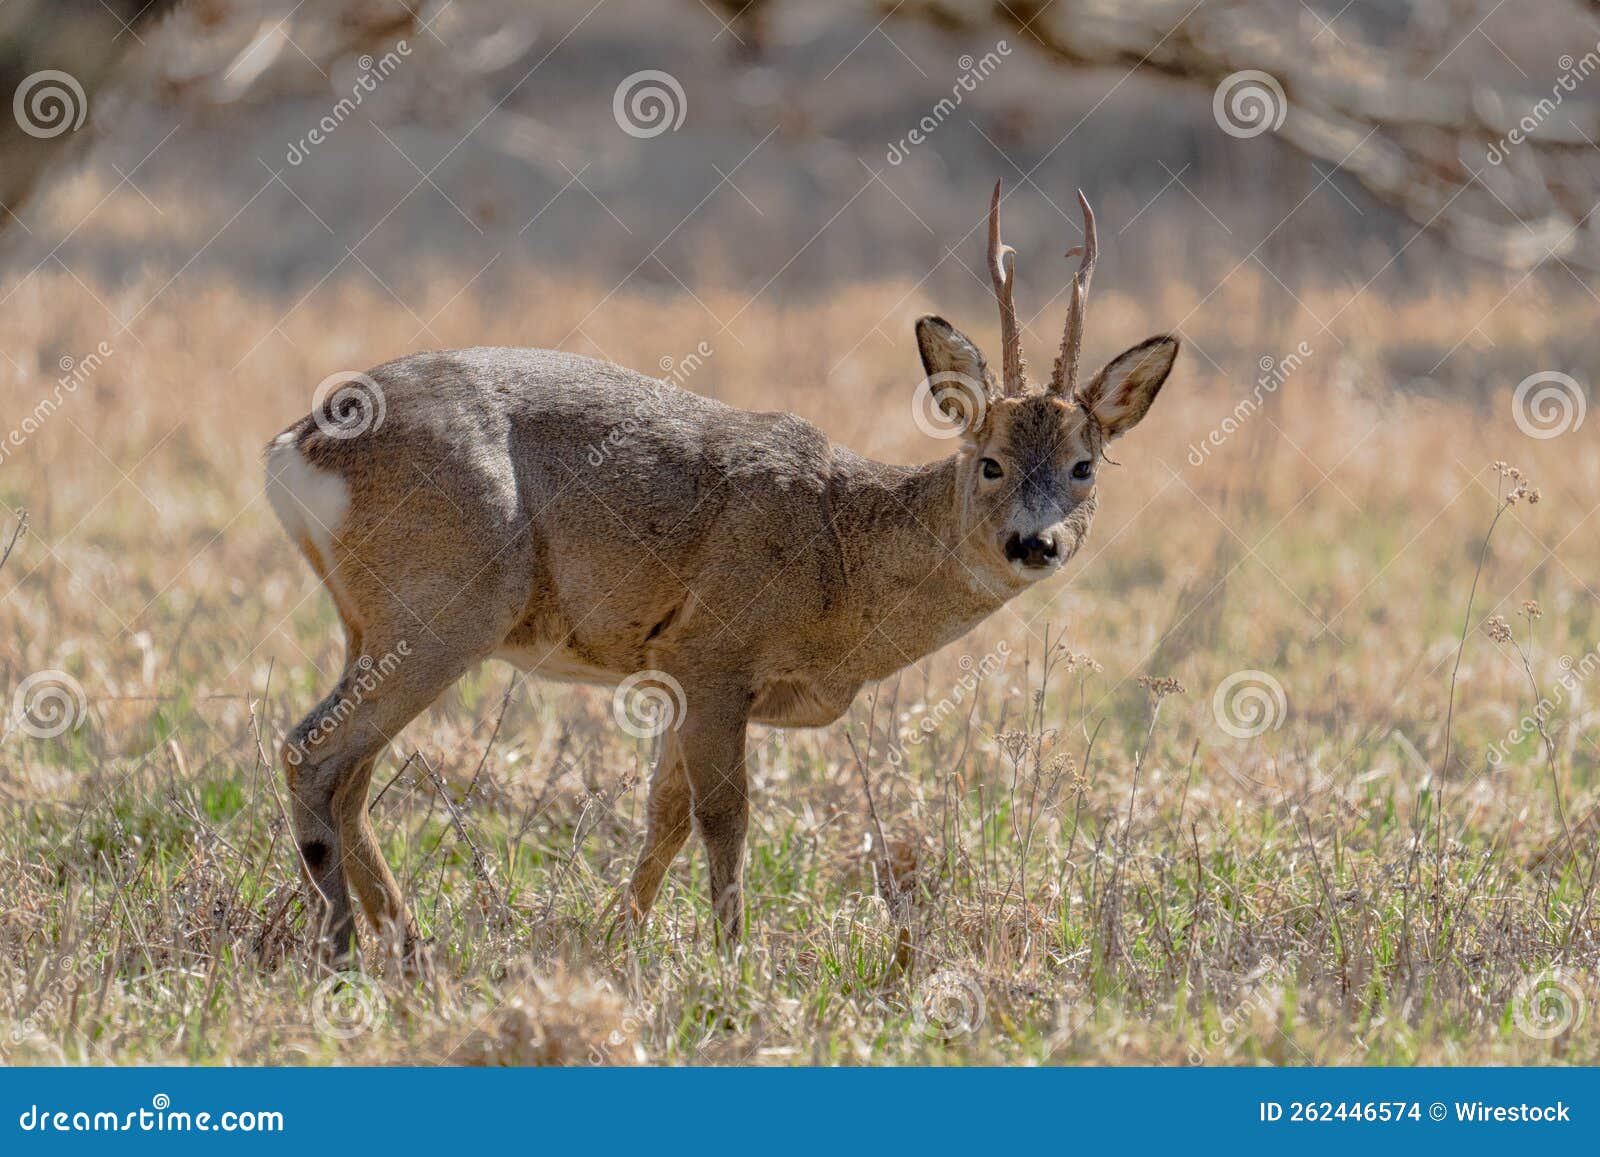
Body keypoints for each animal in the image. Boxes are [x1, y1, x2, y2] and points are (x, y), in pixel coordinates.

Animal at [264, 181, 1178, 968]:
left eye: (1084, 467)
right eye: (989, 463)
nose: (1036, 542)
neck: (840, 566)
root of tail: (295, 443)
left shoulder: (676, 672)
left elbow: (663, 814)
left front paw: (618, 938)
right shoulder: (712, 651)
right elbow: (723, 817)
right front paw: (733, 962)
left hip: (372, 620)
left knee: (351, 775)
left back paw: (406, 947)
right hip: (447, 601)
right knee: (314, 748)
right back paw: (341, 948)